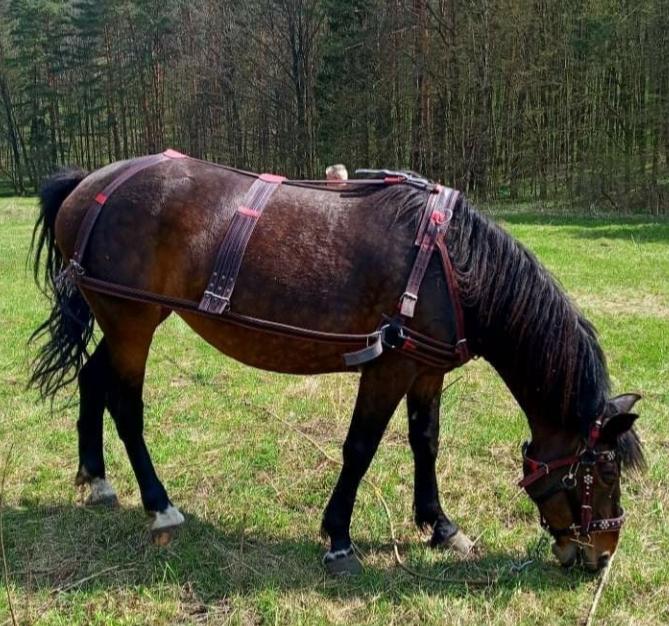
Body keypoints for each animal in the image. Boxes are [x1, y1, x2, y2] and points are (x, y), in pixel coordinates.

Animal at [30, 151, 640, 572]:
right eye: (605, 471)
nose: (602, 556)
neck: (453, 268)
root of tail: (91, 183)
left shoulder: (426, 369)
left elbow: (426, 442)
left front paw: (440, 525)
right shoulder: (388, 368)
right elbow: (361, 448)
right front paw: (340, 538)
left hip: (129, 320)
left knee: (92, 380)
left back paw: (96, 478)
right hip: (131, 322)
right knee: (126, 407)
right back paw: (159, 505)